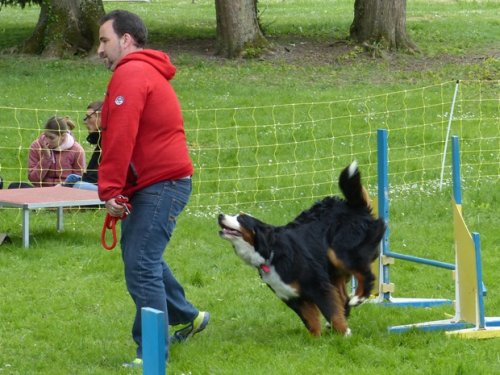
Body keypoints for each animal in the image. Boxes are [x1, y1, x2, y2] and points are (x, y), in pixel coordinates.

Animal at [219, 162, 386, 338]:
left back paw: (358, 298)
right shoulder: (293, 296)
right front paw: (315, 339)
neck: (271, 254)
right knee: (342, 296)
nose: (220, 215)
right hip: (332, 269)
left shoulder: (318, 285)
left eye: (241, 218)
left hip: (341, 253)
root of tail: (353, 206)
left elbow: (331, 311)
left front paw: (344, 333)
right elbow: (311, 320)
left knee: (366, 276)